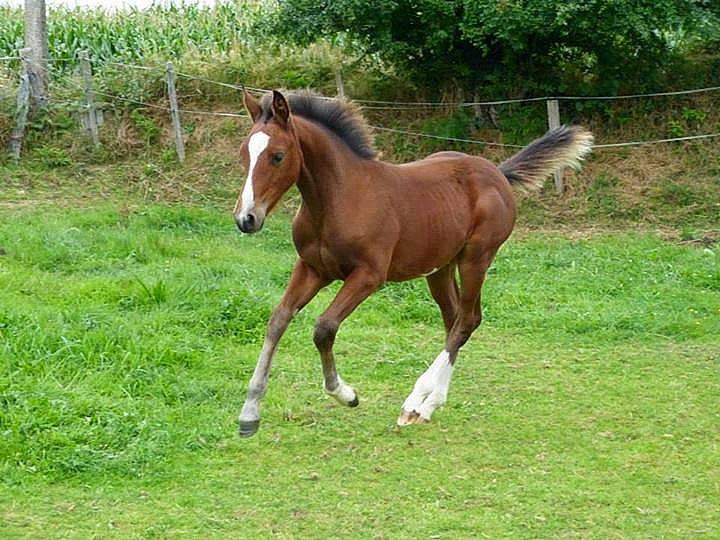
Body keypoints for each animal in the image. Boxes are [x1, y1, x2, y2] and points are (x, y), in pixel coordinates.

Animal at [234, 89, 593, 437]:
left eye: (277, 156)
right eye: (243, 154)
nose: (246, 219)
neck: (339, 199)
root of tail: (497, 173)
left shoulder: (368, 275)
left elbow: (324, 327)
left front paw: (346, 394)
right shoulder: (312, 269)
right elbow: (278, 319)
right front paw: (249, 413)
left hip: (477, 257)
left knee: (467, 320)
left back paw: (415, 403)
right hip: (441, 267)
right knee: (456, 319)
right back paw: (431, 404)